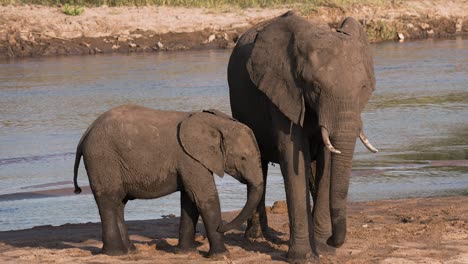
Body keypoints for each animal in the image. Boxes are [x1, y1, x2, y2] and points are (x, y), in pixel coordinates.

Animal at [72, 105, 264, 258]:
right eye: (243, 158)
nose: (221, 227)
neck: (217, 123)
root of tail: (86, 133)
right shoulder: (189, 158)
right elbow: (204, 198)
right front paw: (221, 255)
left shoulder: (190, 160)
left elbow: (190, 200)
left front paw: (186, 252)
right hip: (103, 159)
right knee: (109, 202)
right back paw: (115, 254)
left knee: (119, 203)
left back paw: (130, 251)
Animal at [229, 11, 378, 260]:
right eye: (316, 87)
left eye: (364, 89)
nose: (333, 240)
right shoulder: (282, 91)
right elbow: (293, 156)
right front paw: (303, 257)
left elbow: (327, 163)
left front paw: (324, 249)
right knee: (259, 165)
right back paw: (256, 237)